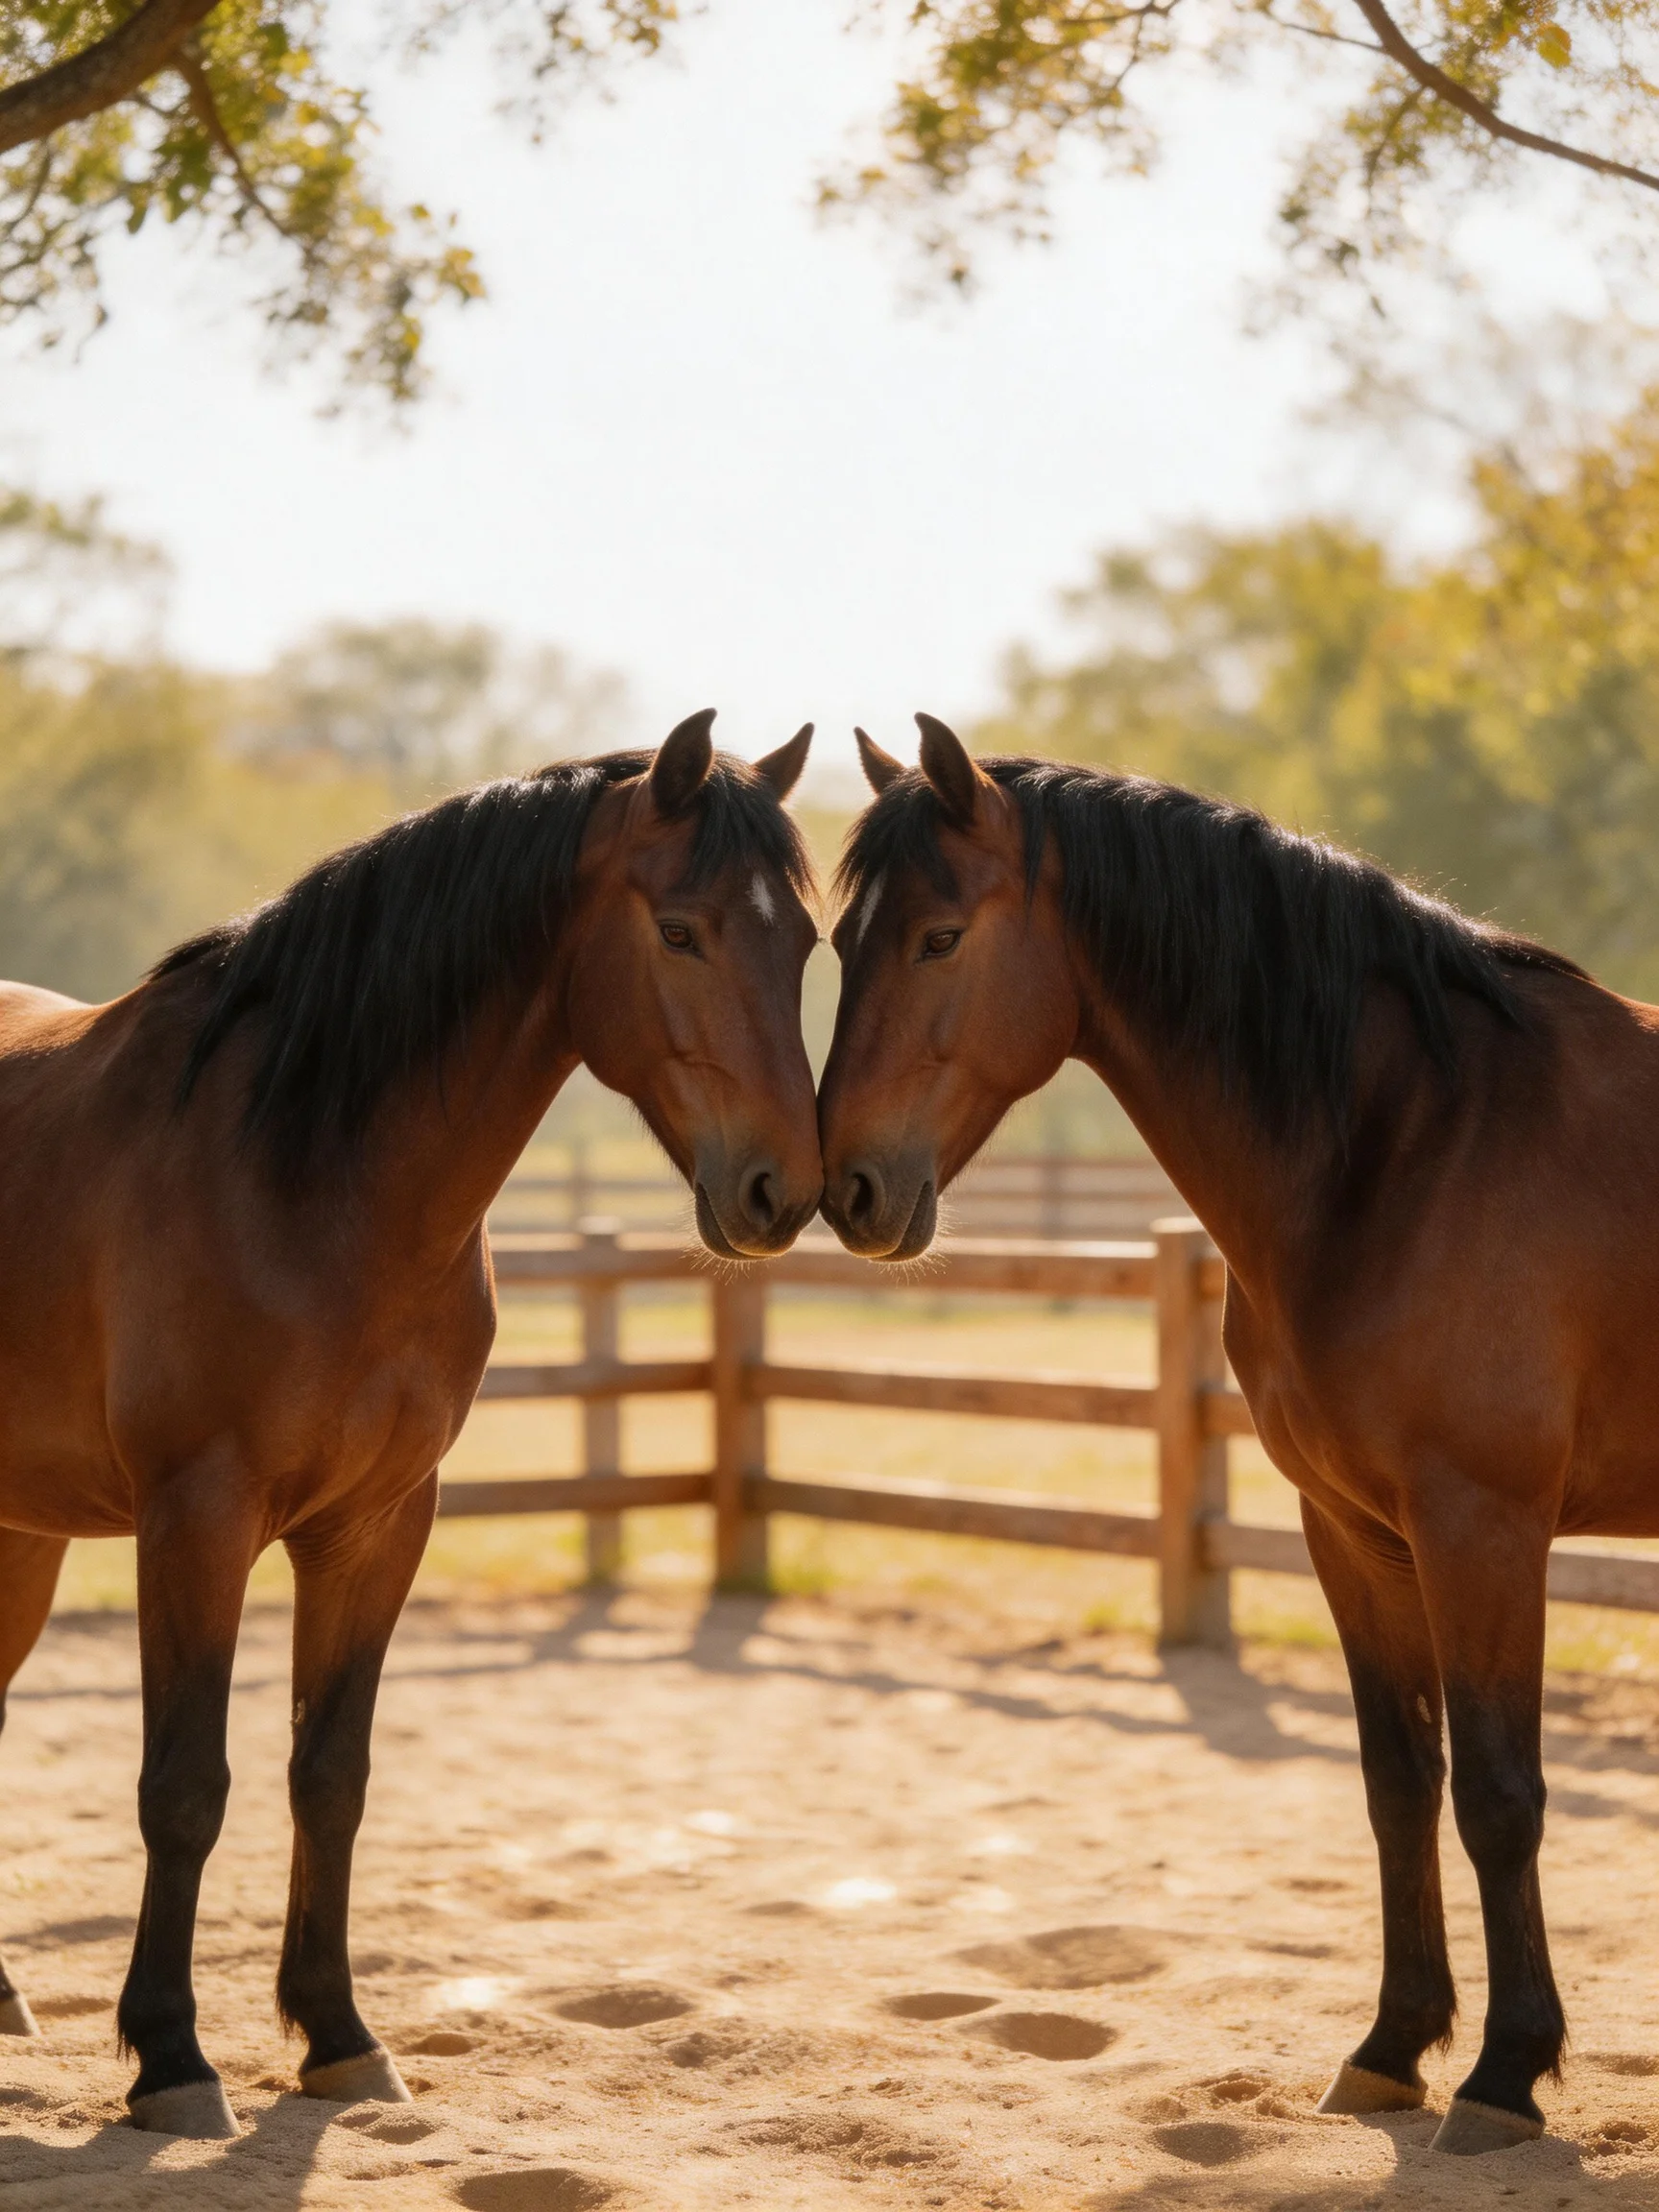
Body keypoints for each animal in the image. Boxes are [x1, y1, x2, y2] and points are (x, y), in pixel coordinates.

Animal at [0, 710, 822, 2139]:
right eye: (680, 930)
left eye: (811, 940)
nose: (785, 1190)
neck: (303, 1171)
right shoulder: (196, 1520)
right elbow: (186, 1786)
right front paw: (171, 2057)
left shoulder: (380, 1524)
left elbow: (331, 1776)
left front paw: (337, 2036)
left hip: (24, 1534)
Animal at [815, 711, 1656, 2156]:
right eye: (840, 938)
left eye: (939, 936)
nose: (848, 1189)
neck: (1413, 1145)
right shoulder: (1355, 1532)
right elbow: (1398, 1783)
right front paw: (1392, 2047)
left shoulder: (1483, 1527)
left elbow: (1499, 1795)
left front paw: (1505, 2074)